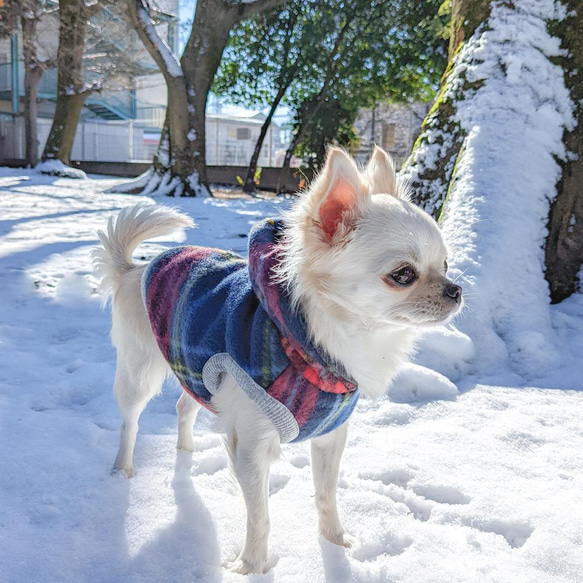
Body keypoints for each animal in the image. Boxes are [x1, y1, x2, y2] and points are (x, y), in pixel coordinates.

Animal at [94, 146, 460, 576]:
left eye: (446, 265)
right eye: (403, 275)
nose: (456, 290)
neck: (314, 347)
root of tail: (133, 269)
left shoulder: (330, 435)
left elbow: (326, 493)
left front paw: (335, 542)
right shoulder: (250, 445)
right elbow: (260, 515)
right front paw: (251, 566)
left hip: (196, 369)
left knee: (185, 404)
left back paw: (186, 452)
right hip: (140, 373)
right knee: (130, 423)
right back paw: (123, 471)